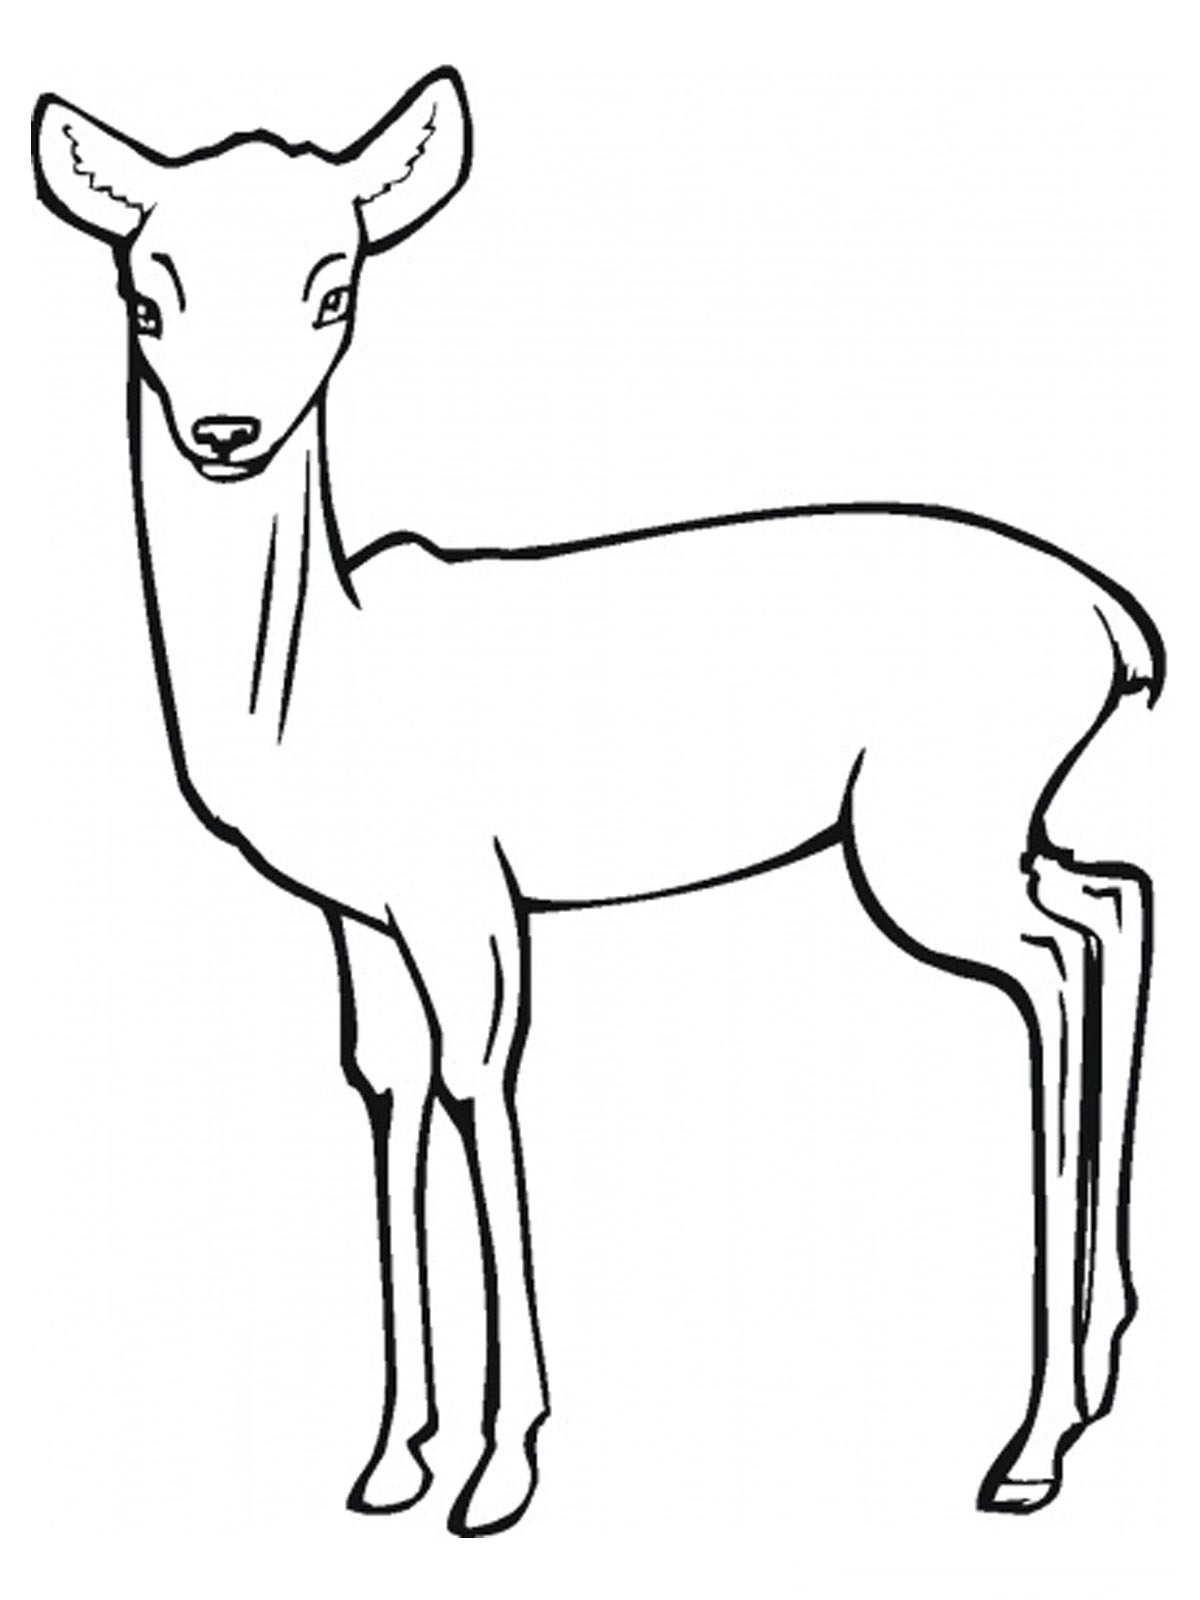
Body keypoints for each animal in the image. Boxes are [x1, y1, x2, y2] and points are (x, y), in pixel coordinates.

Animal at [32, 67, 1161, 1536]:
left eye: (334, 287)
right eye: (147, 291)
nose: (228, 431)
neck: (317, 687)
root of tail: (1114, 620)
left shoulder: (467, 892)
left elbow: (479, 1080)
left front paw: (500, 1468)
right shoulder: (359, 920)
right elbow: (389, 1088)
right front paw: (389, 1461)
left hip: (926, 847)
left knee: (1057, 965)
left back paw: (1028, 1448)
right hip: (998, 831)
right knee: (1116, 901)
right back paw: (1102, 1364)